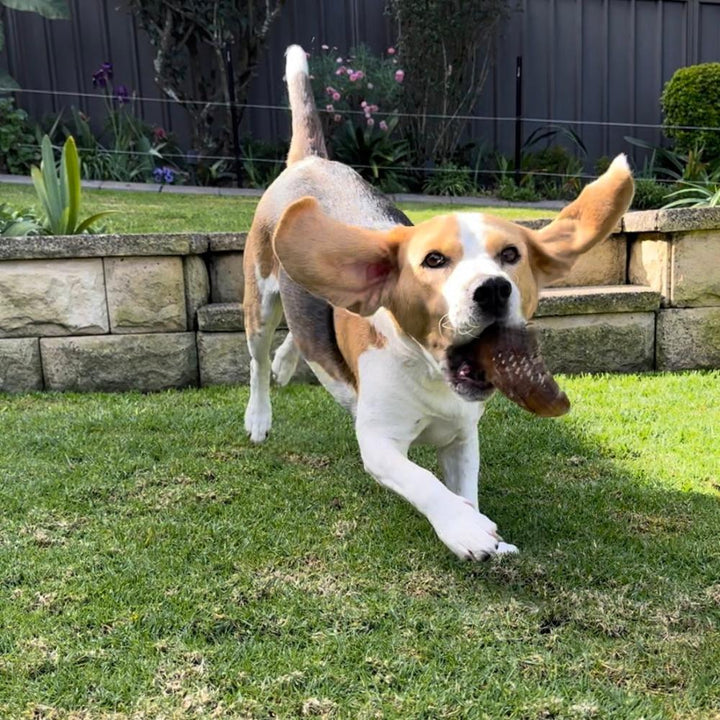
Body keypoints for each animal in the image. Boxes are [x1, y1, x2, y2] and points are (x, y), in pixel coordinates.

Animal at [243, 46, 636, 564]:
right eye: (433, 260)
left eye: (511, 255)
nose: (493, 290)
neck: (430, 373)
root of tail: (311, 160)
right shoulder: (379, 443)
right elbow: (425, 482)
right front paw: (463, 529)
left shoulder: (463, 437)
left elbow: (463, 487)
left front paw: (484, 532)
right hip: (259, 299)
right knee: (257, 359)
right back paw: (258, 416)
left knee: (299, 338)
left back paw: (290, 362)